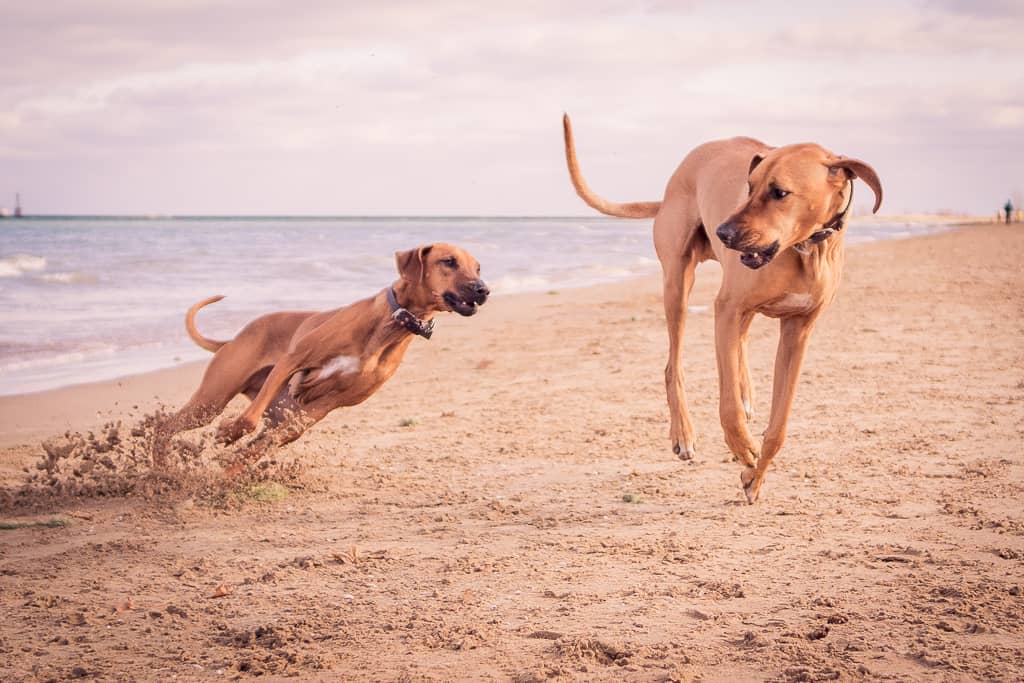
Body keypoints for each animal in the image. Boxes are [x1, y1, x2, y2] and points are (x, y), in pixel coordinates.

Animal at [153, 242, 489, 466]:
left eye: (478, 267)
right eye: (449, 261)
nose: (483, 289)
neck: (392, 324)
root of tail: (230, 340)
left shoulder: (321, 407)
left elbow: (259, 444)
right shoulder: (292, 361)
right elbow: (247, 422)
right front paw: (229, 432)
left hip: (284, 414)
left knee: (261, 442)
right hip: (211, 400)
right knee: (165, 426)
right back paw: (162, 462)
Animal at [561, 114, 880, 501]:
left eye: (780, 192)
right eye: (749, 186)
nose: (723, 232)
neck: (805, 248)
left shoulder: (798, 330)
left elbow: (779, 425)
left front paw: (755, 477)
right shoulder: (726, 310)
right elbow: (727, 408)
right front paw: (743, 450)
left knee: (738, 347)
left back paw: (745, 393)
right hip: (677, 284)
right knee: (673, 365)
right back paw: (684, 433)